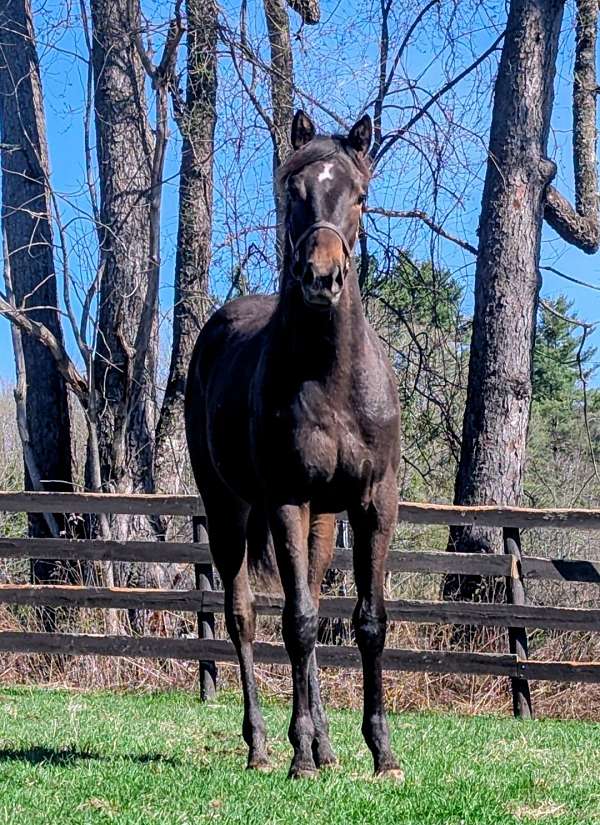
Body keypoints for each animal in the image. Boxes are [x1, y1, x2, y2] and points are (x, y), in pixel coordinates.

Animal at [185, 110, 402, 780]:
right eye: (293, 192)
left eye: (359, 196)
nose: (321, 279)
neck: (330, 377)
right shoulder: (285, 500)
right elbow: (299, 623)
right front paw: (298, 755)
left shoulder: (373, 502)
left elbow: (366, 622)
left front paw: (382, 753)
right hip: (228, 510)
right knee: (245, 617)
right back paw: (262, 747)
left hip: (322, 523)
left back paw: (325, 745)